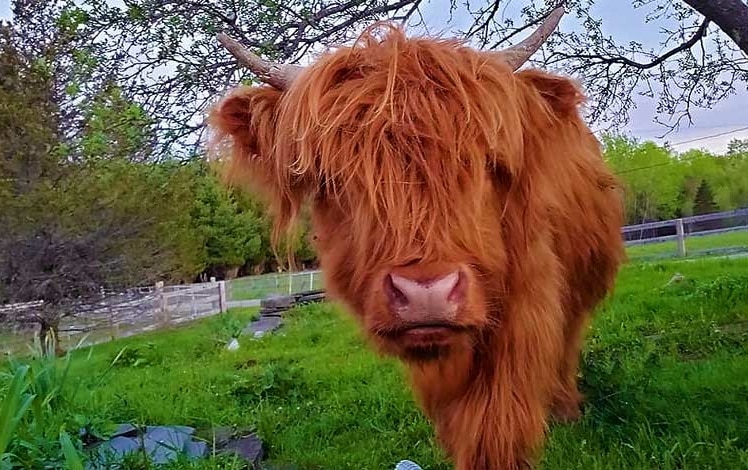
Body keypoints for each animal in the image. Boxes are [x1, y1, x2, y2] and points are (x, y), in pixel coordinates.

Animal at [207, 8, 628, 470]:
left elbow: (497, 419)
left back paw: (567, 407)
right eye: (332, 179)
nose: (427, 292)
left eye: (487, 164)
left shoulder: (525, 309)